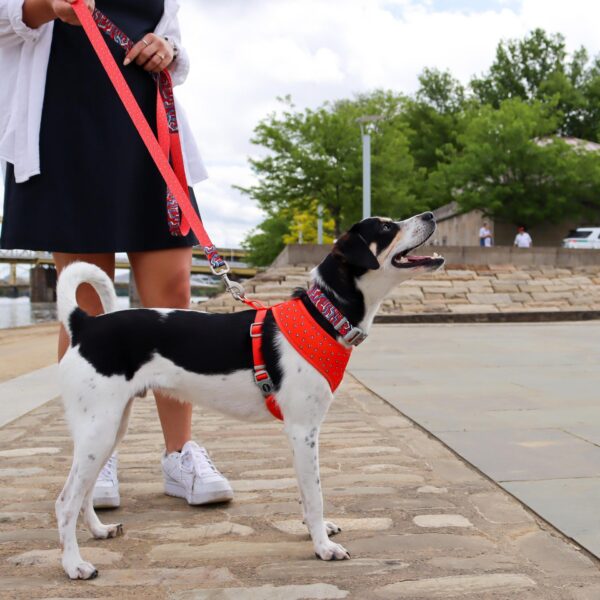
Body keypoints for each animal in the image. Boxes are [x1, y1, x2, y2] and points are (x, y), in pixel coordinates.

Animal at [54, 211, 442, 576]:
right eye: (387, 228)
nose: (430, 215)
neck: (324, 315)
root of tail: (85, 324)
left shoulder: (302, 436)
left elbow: (305, 491)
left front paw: (313, 530)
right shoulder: (303, 431)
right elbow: (315, 493)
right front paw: (322, 546)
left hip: (110, 428)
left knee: (85, 492)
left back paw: (99, 530)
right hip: (99, 430)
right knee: (66, 501)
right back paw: (74, 565)